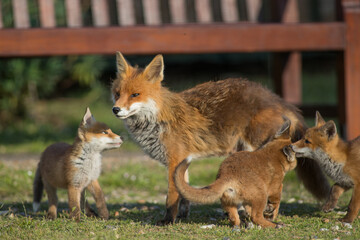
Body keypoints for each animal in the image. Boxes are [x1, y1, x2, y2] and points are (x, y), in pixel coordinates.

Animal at [111, 52, 330, 225]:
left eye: (135, 94)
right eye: (117, 93)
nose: (115, 109)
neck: (157, 119)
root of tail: (276, 98)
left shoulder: (174, 160)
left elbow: (171, 196)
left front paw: (167, 221)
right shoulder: (183, 160)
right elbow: (184, 192)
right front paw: (182, 216)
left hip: (256, 148)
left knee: (278, 185)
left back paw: (268, 215)